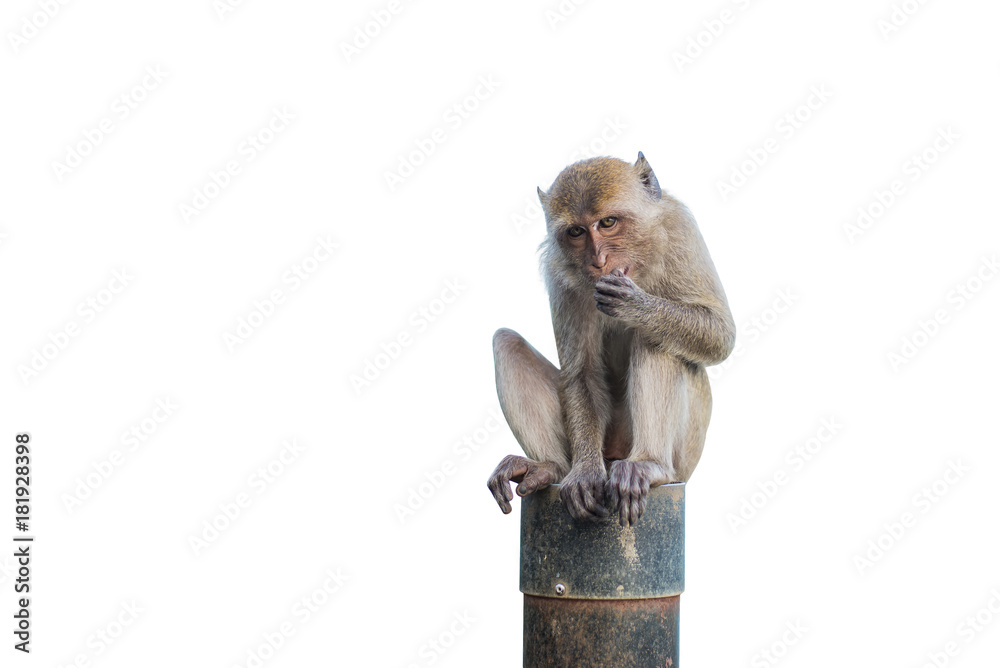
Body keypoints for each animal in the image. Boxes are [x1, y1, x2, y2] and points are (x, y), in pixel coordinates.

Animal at [487, 152, 735, 526]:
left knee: (656, 338)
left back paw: (649, 464)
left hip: (685, 456)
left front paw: (635, 305)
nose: (599, 261)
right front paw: (585, 473)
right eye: (576, 231)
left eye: (607, 222)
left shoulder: (680, 230)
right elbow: (582, 373)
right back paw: (549, 467)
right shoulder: (561, 275)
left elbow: (721, 334)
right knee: (507, 342)